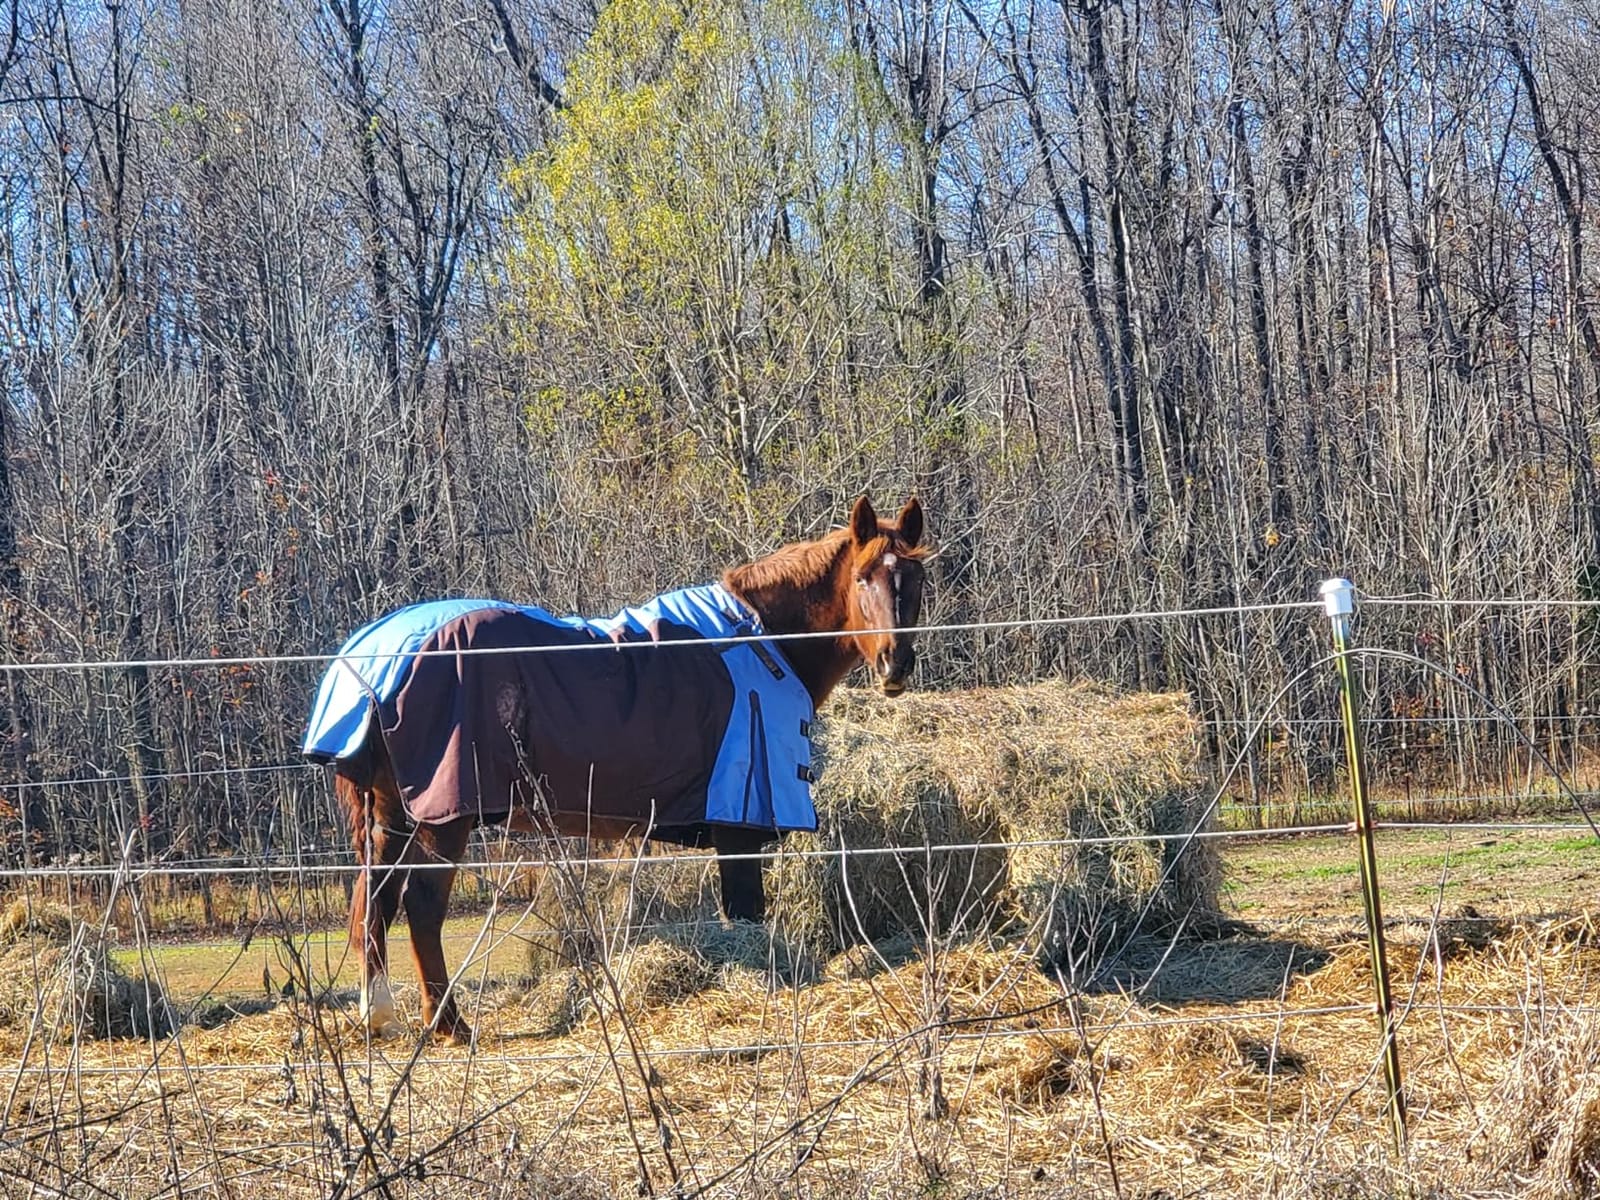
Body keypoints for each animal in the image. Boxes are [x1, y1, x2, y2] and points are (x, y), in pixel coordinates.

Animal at [304, 495, 927, 1042]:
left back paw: (381, 1017)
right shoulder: (740, 827)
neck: (765, 643)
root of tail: (370, 661)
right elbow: (745, 912)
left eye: (916, 580)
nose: (895, 665)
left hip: (394, 814)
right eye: (864, 578)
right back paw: (449, 1025)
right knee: (421, 907)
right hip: (444, 817)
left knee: (374, 903)